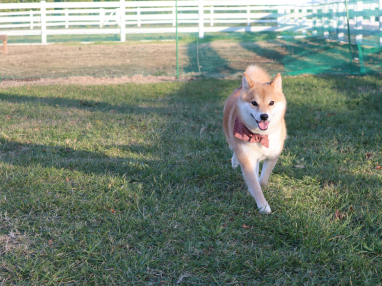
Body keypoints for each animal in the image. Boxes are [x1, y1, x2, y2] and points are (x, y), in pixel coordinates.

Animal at [221, 65, 286, 212]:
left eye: (271, 102)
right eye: (254, 103)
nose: (264, 116)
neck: (260, 136)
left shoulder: (272, 156)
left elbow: (262, 180)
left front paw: (260, 185)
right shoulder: (247, 159)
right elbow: (255, 186)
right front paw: (263, 206)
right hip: (232, 142)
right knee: (234, 150)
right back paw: (234, 162)